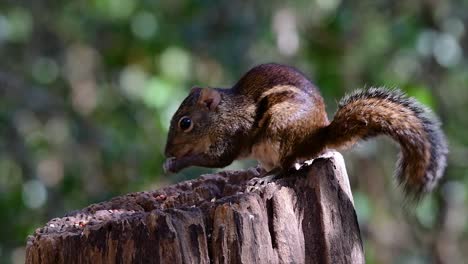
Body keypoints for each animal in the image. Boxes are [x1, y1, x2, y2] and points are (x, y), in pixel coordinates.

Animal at [163, 63, 448, 198]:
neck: (223, 114)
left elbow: (216, 159)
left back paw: (265, 177)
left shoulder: (230, 136)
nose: (166, 152)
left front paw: (175, 164)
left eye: (185, 123)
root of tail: (318, 136)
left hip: (281, 132)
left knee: (288, 167)